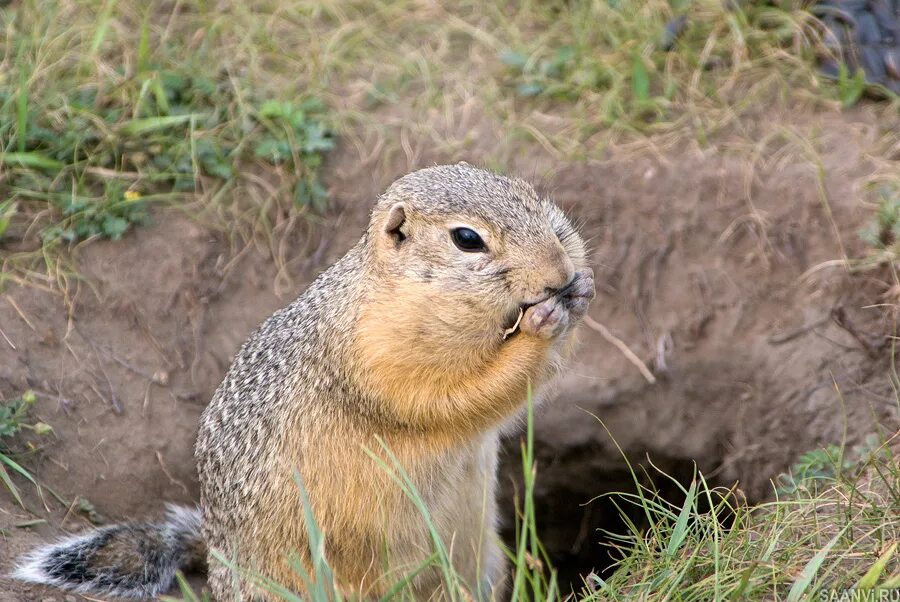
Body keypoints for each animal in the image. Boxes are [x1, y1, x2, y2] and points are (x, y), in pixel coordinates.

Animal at [14, 162, 596, 596]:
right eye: (468, 239)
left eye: (531, 196)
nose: (560, 272)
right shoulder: (377, 357)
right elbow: (457, 398)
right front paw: (540, 327)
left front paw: (584, 284)